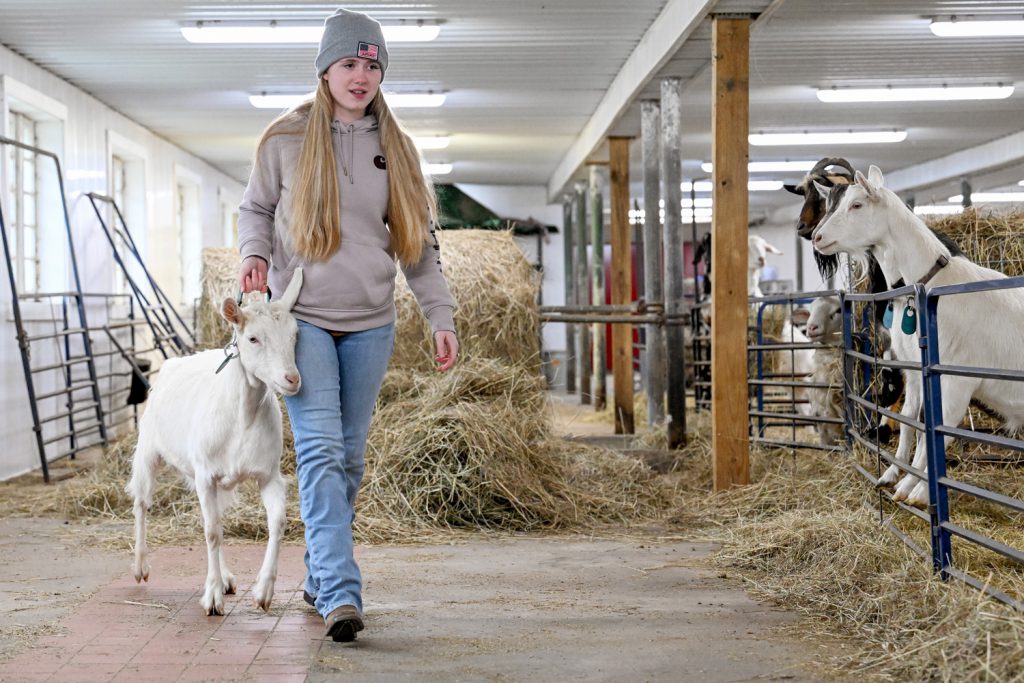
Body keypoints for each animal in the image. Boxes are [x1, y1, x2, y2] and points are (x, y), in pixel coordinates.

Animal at [125, 266, 301, 614]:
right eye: (253, 338)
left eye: (295, 334)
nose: (292, 379)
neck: (242, 417)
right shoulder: (205, 474)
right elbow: (210, 533)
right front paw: (212, 597)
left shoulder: (268, 475)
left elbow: (275, 523)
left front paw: (262, 590)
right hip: (149, 449)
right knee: (142, 502)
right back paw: (140, 567)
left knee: (217, 519)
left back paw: (227, 577)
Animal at [819, 165, 1024, 507]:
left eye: (857, 204)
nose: (817, 237)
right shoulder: (914, 370)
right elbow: (911, 422)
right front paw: (895, 476)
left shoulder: (956, 378)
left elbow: (940, 429)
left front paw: (917, 490)